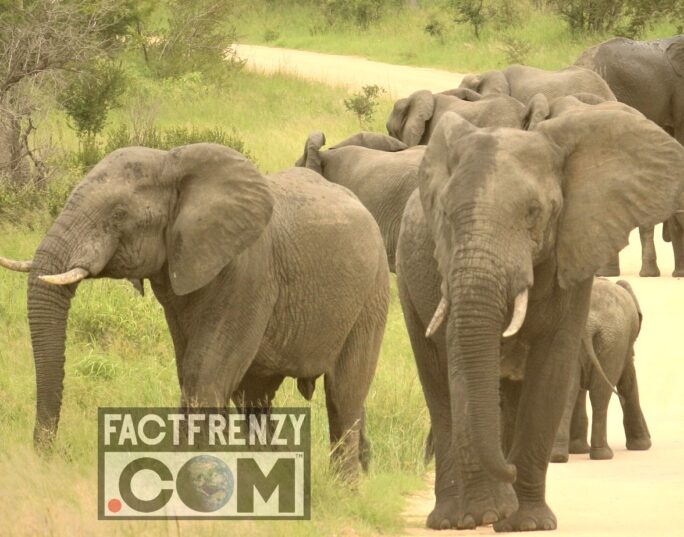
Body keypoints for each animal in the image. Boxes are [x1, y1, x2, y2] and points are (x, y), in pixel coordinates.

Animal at [0, 143, 389, 478]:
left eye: (119, 214)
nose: (50, 454)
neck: (173, 163)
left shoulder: (248, 275)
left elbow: (204, 375)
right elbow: (188, 373)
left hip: (372, 293)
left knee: (343, 397)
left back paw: (344, 489)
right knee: (255, 399)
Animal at [550, 278, 651, 463]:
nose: (650, 436)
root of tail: (588, 324)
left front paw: (577, 450)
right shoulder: (625, 346)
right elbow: (628, 379)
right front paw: (642, 446)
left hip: (576, 339)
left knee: (569, 391)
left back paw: (559, 456)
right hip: (613, 341)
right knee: (600, 394)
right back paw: (603, 455)